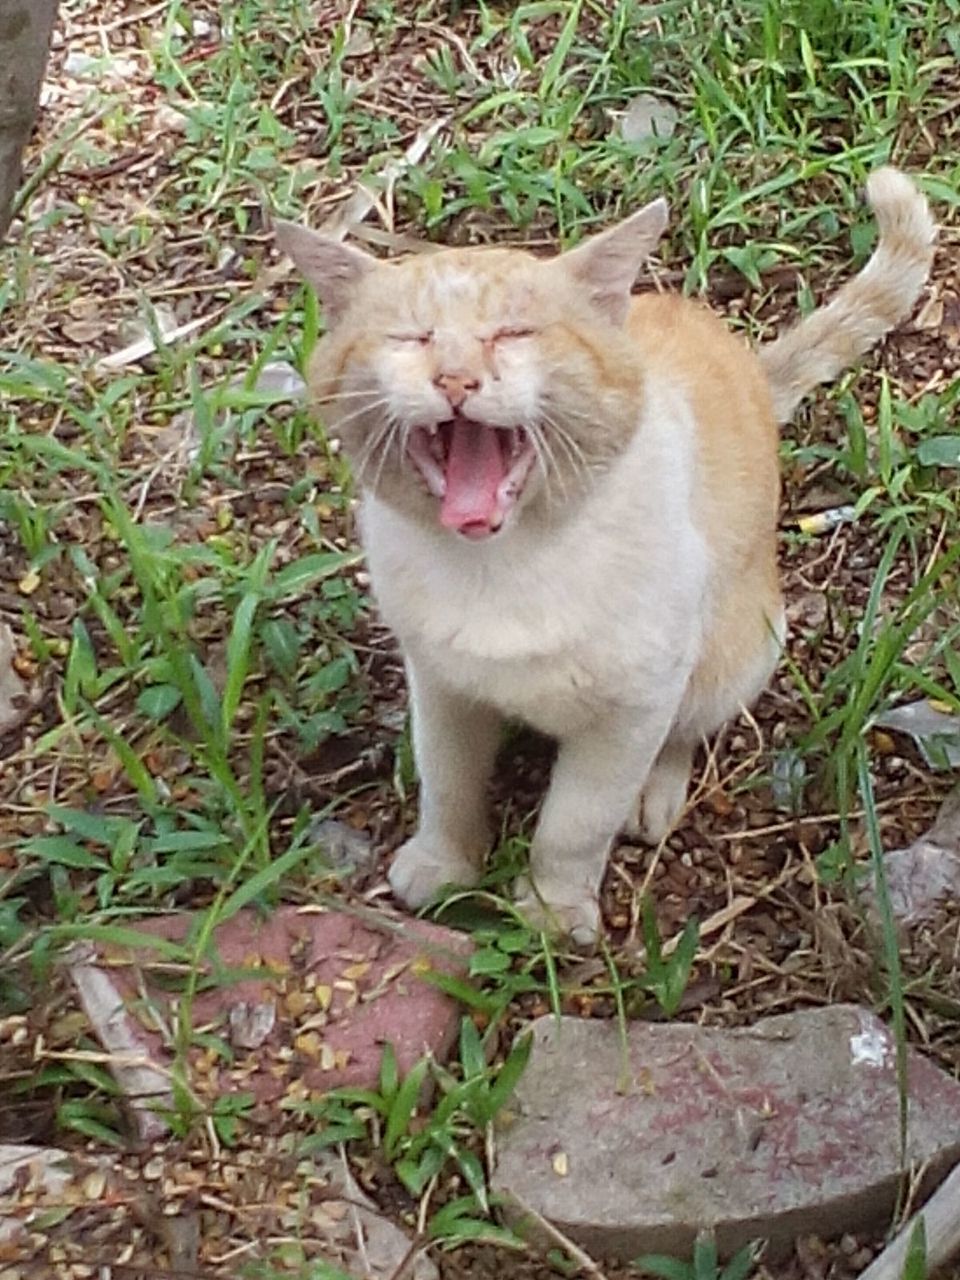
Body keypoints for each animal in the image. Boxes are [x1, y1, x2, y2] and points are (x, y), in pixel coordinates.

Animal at [273, 170, 936, 947]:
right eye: (412, 337)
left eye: (513, 333)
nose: (456, 381)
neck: (505, 567)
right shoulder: (441, 687)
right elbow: (448, 785)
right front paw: (444, 865)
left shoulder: (633, 711)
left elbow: (574, 825)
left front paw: (554, 911)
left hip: (732, 654)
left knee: (688, 728)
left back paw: (653, 797)